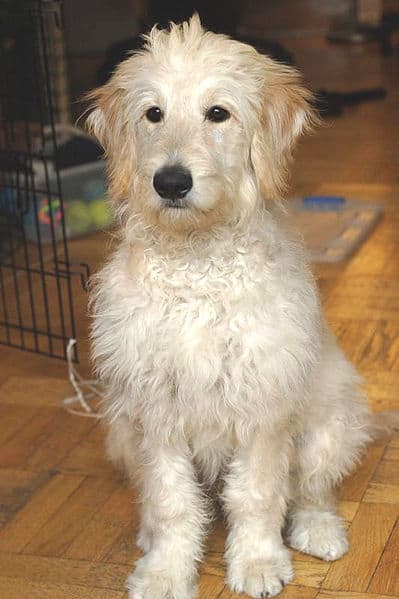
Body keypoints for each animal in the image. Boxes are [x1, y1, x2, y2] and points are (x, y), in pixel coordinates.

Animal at [86, 14, 390, 599]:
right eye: (153, 113)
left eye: (217, 113)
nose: (170, 182)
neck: (197, 266)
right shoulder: (157, 415)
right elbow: (172, 502)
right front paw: (166, 571)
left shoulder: (262, 410)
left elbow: (257, 495)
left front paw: (257, 562)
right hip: (121, 434)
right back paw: (147, 534)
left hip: (331, 426)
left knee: (312, 489)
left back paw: (319, 530)